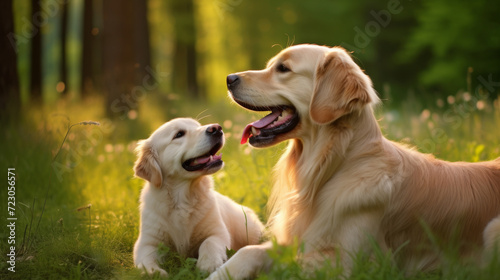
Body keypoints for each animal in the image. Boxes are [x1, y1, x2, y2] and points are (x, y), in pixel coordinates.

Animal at [133, 117, 266, 276]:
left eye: (198, 125)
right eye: (179, 134)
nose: (216, 128)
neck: (182, 197)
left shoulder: (218, 231)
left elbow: (209, 243)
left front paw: (208, 264)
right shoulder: (147, 242)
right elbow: (145, 260)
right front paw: (155, 273)